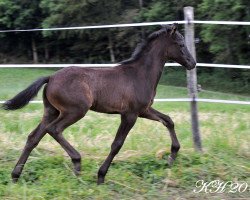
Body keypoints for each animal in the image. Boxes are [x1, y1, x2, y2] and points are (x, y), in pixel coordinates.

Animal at [2, 24, 196, 185]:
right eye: (180, 44)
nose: (192, 63)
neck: (140, 74)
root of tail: (50, 78)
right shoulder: (130, 114)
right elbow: (117, 144)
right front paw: (101, 176)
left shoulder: (144, 110)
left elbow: (168, 120)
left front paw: (172, 156)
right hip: (75, 111)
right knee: (54, 129)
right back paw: (77, 162)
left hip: (52, 111)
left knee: (33, 137)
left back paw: (15, 175)